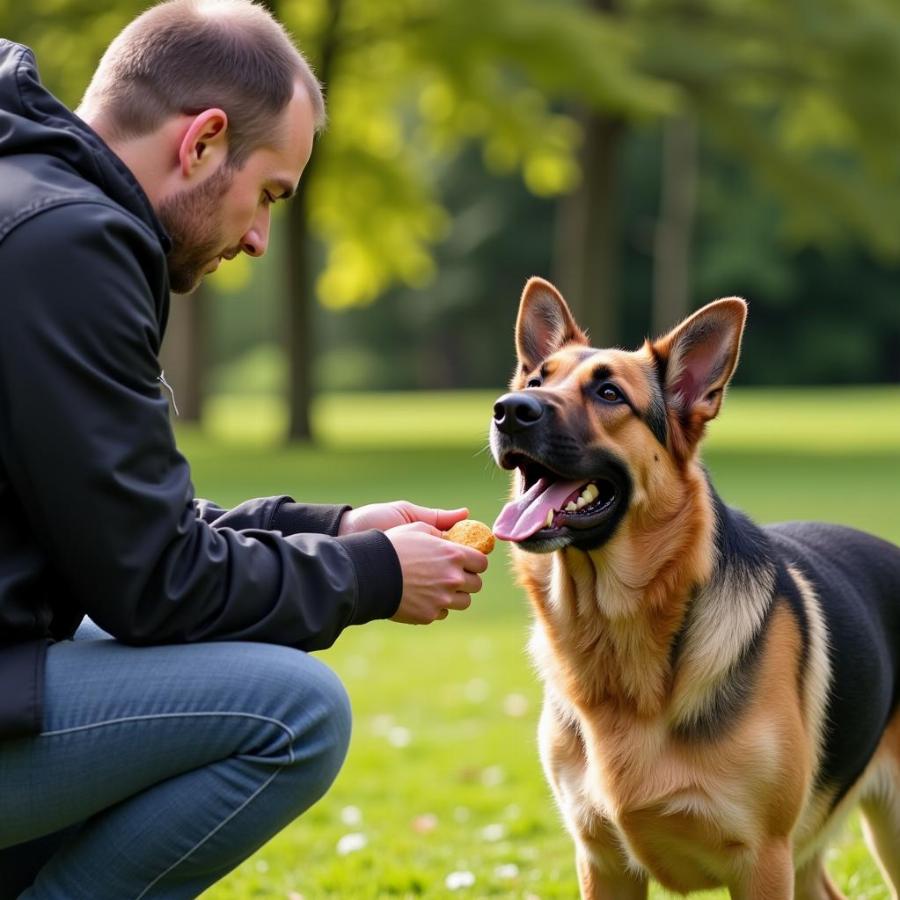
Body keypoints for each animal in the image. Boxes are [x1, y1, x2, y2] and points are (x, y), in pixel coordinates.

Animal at [488, 278, 900, 896]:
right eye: (537, 381)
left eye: (609, 393)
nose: (509, 411)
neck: (618, 633)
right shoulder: (602, 862)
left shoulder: (762, 862)